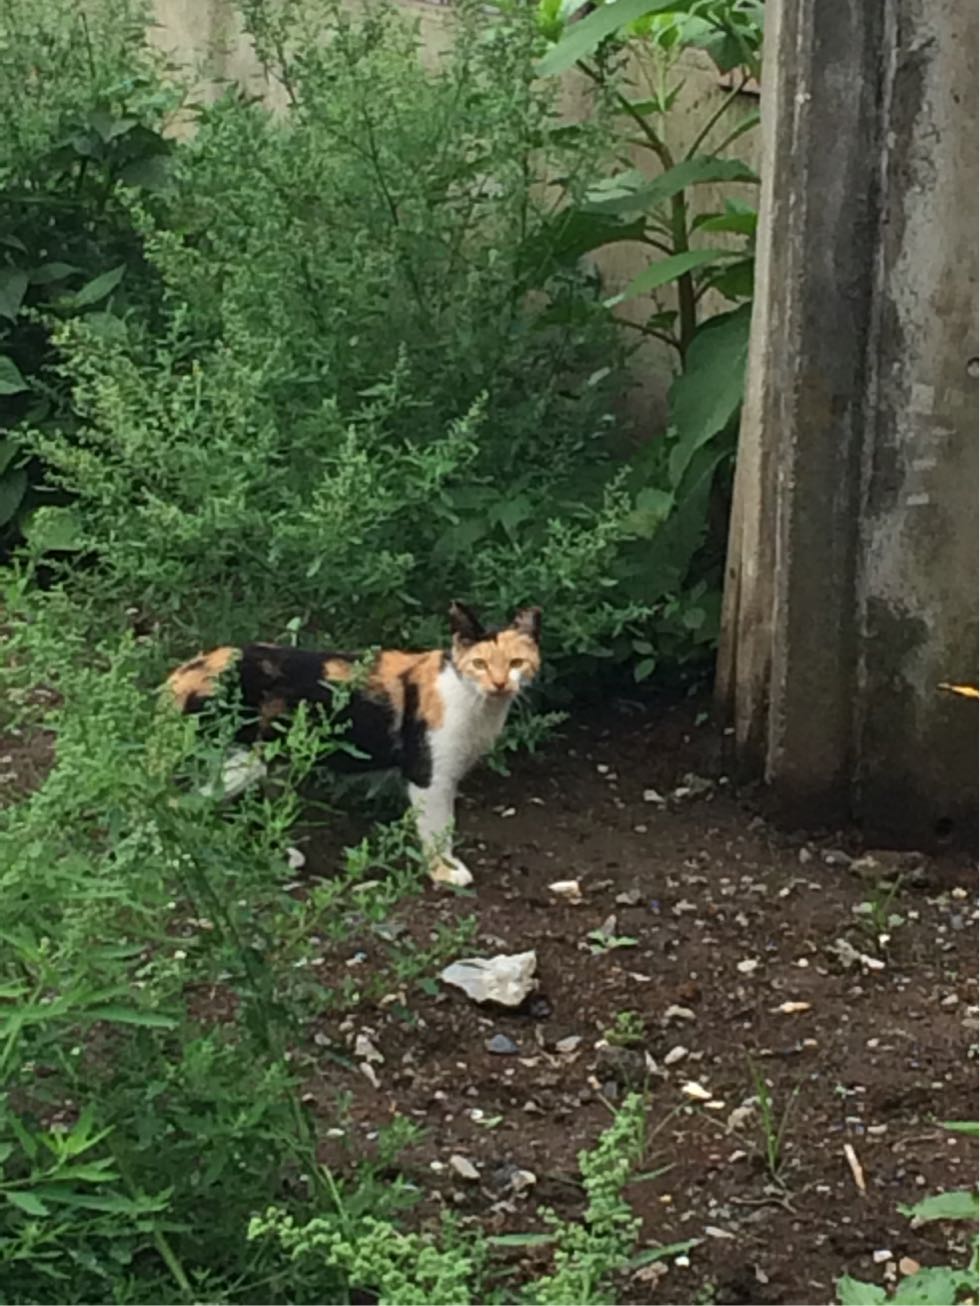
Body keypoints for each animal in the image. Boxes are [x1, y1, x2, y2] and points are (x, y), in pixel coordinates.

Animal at [165, 601, 542, 886]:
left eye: (516, 663)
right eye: (479, 663)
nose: (499, 683)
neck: (476, 704)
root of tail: (185, 673)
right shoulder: (429, 773)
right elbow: (437, 825)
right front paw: (445, 871)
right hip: (237, 759)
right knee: (182, 802)